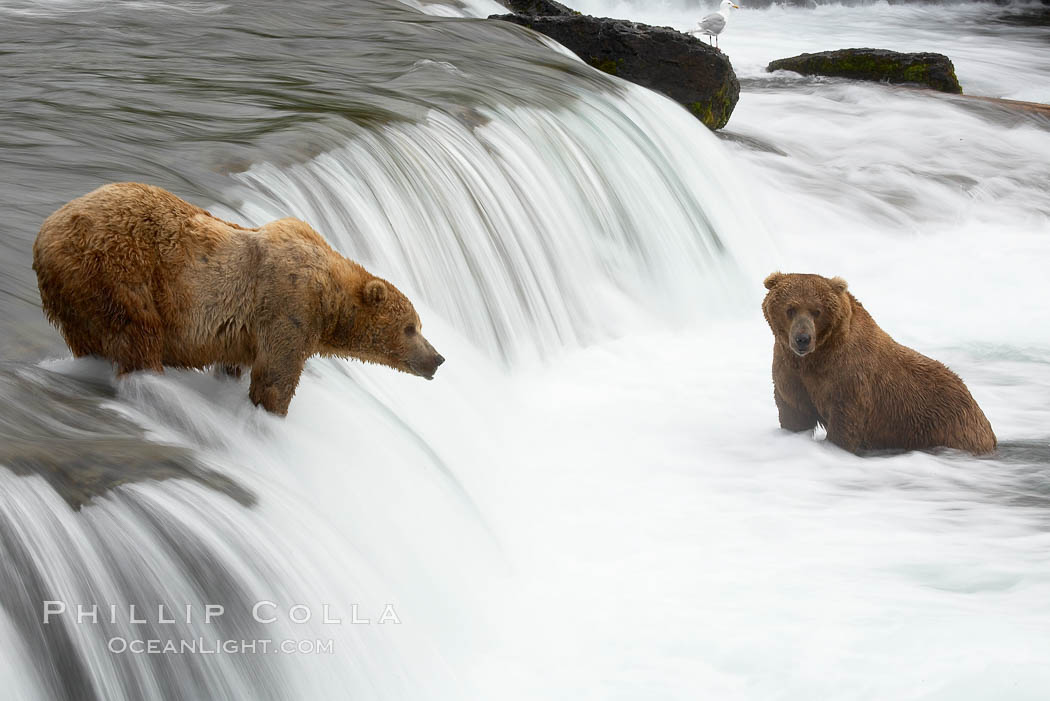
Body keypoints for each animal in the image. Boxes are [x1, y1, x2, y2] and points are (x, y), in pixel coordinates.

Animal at [32, 182, 444, 415]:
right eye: (410, 327)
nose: (438, 358)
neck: (330, 302)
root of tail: (45, 233)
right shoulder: (289, 307)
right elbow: (276, 376)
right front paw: (270, 411)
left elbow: (236, 364)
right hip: (116, 271)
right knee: (138, 334)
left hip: (75, 298)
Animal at [761, 272, 995, 455]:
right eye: (791, 309)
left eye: (816, 311)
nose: (802, 339)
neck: (817, 357)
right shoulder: (790, 371)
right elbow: (794, 412)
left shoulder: (849, 377)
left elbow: (845, 421)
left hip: (947, 426)